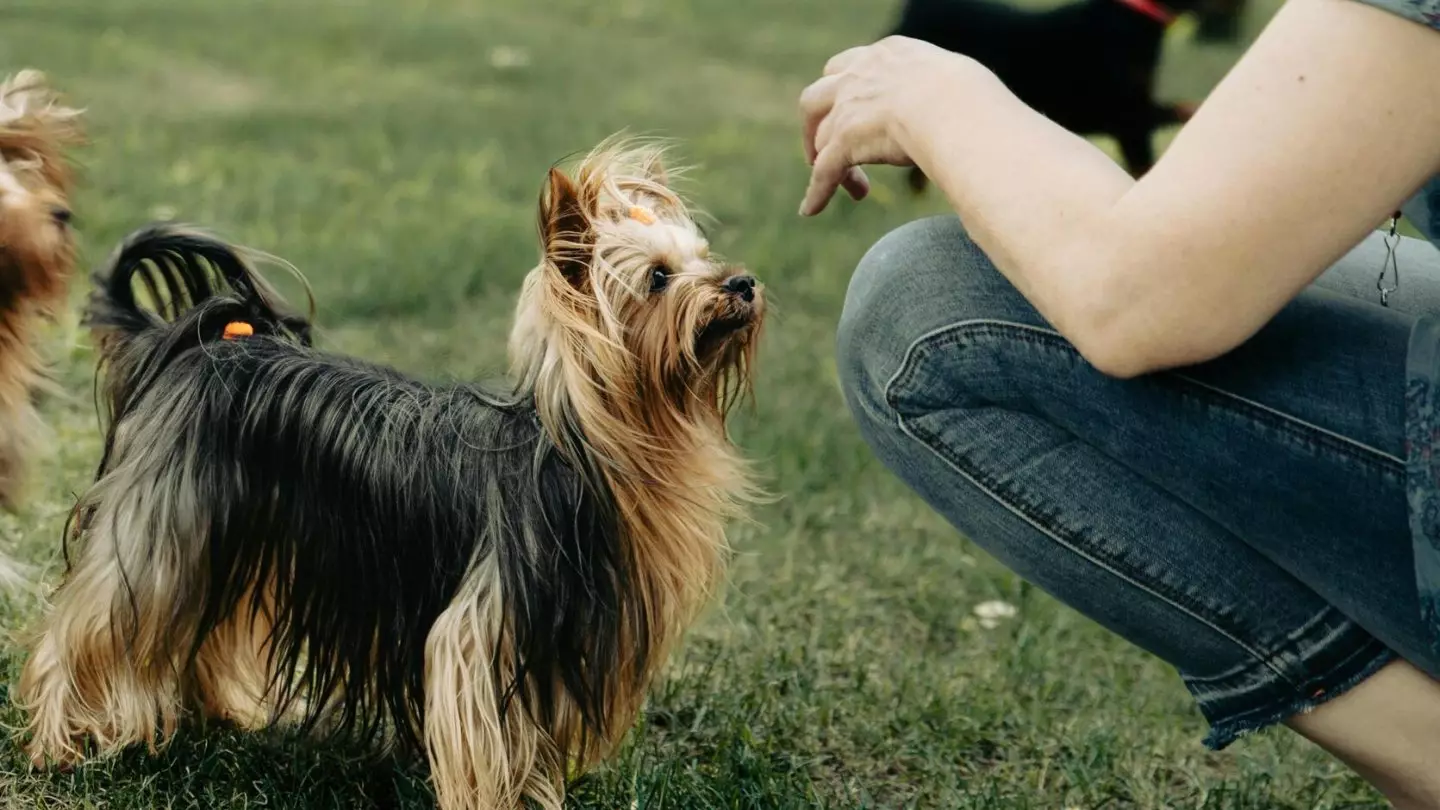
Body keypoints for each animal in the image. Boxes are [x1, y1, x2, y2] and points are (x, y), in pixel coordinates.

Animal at [19, 138, 766, 807]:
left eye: (704, 258)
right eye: (659, 277)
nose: (743, 282)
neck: (584, 446)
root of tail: (195, 347)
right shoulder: (480, 632)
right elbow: (481, 736)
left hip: (228, 533)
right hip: (158, 531)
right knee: (83, 627)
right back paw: (56, 746)